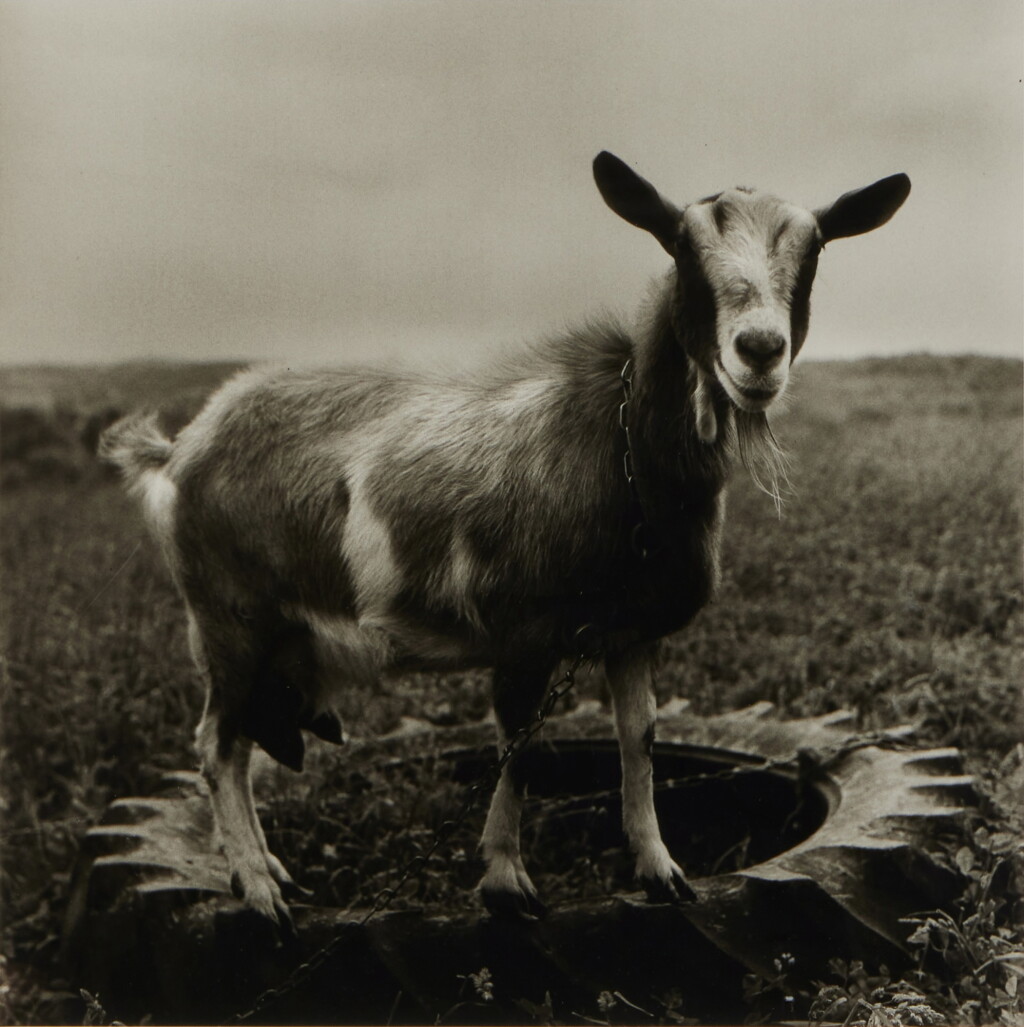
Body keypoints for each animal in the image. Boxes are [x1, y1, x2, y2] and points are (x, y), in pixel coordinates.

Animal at [100, 152, 910, 925]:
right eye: (681, 245)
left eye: (816, 248)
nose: (759, 350)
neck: (621, 453)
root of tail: (178, 449)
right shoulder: (523, 633)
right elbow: (518, 751)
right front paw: (506, 883)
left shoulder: (632, 632)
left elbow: (639, 739)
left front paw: (661, 871)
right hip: (230, 619)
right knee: (218, 747)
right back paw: (259, 891)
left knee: (238, 746)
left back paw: (271, 870)